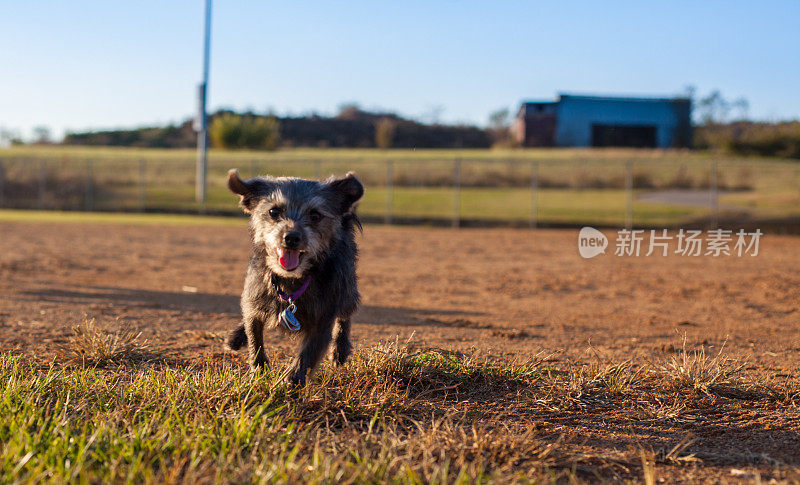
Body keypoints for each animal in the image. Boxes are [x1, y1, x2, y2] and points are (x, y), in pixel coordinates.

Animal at [223, 168, 364, 388]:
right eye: (273, 212)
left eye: (315, 215)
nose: (291, 237)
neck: (290, 281)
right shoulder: (255, 298)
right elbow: (255, 338)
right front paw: (260, 373)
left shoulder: (323, 319)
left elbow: (306, 357)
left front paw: (290, 385)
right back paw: (237, 336)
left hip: (347, 287)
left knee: (345, 314)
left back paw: (340, 349)